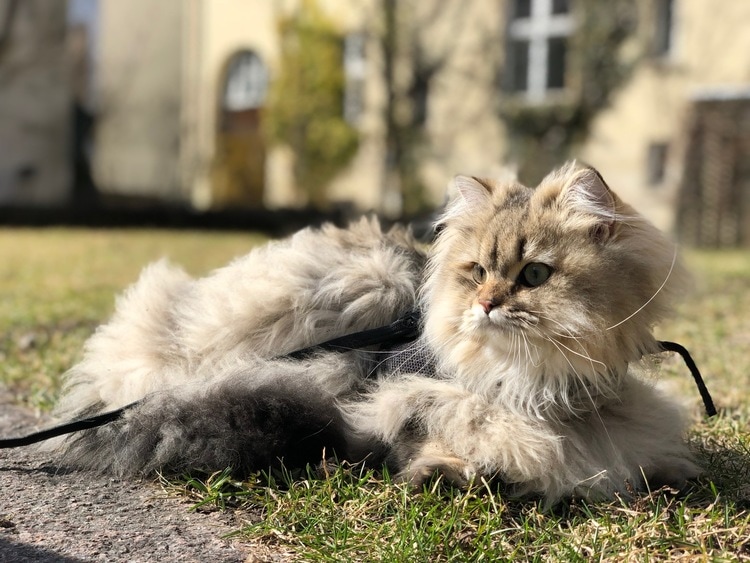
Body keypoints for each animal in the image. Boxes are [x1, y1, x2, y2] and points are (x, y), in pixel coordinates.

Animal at [50, 164, 704, 506]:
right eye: (477, 273)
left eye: (535, 275)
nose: (487, 304)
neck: (532, 388)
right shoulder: (401, 394)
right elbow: (455, 429)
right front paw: (449, 470)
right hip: (362, 288)